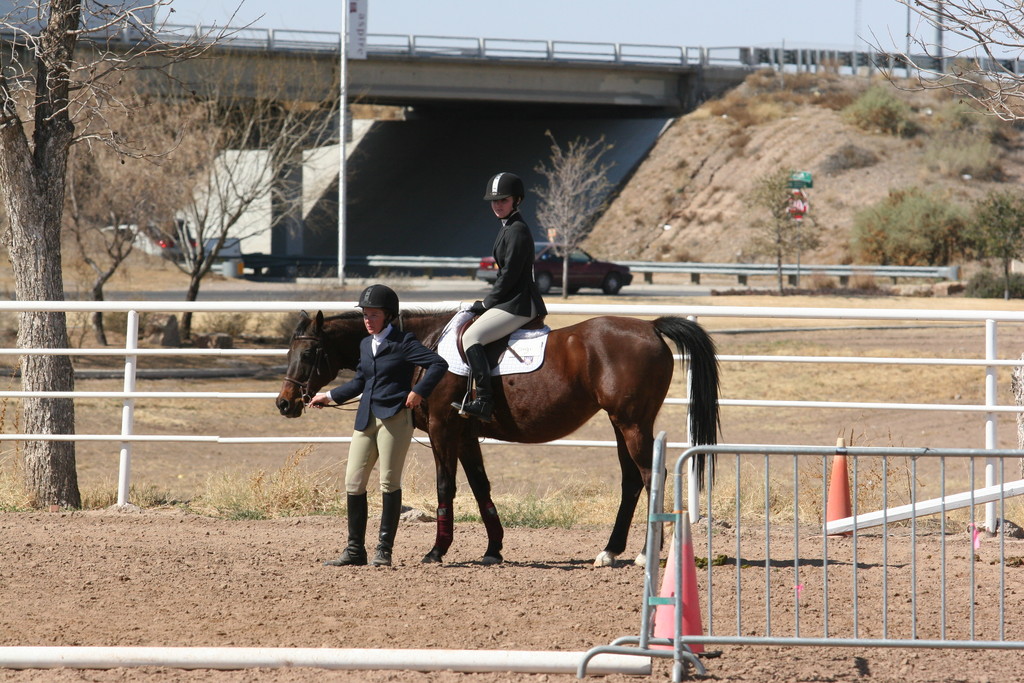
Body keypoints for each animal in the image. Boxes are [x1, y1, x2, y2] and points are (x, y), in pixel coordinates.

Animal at [274, 309, 720, 565]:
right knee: (631, 481)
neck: (424, 349)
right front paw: (493, 550)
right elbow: (480, 487)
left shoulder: (443, 429)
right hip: (620, 423)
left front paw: (437, 551)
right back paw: (610, 552)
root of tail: (649, 327)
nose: (284, 403)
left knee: (649, 476)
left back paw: (646, 555)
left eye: (309, 353)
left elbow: (447, 487)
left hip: (631, 423)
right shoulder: (466, 436)